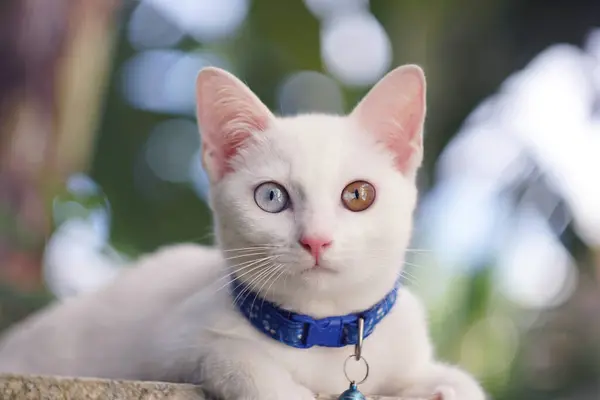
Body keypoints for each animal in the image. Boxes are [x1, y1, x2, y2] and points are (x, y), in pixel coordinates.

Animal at [0, 65, 488, 400]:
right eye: (271, 196)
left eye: (358, 195)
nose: (316, 239)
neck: (321, 334)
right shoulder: (169, 341)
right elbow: (230, 354)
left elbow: (453, 381)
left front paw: (444, 384)